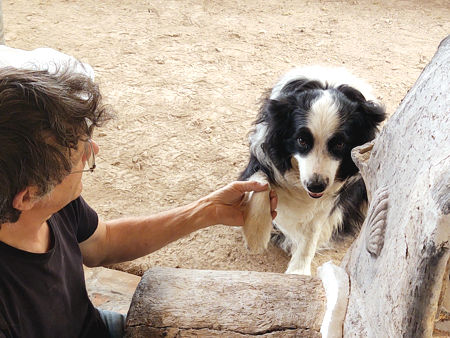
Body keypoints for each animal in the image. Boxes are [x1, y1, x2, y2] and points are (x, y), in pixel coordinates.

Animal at [241, 65, 384, 274]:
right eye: (301, 140)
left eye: (340, 143)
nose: (316, 186)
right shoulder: (265, 155)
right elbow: (259, 181)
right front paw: (256, 236)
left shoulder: (334, 191)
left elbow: (315, 224)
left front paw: (298, 271)